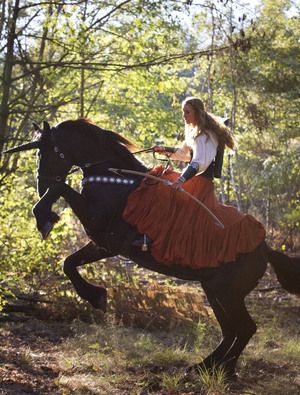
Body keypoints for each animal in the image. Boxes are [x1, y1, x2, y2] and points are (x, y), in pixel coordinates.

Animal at [4, 120, 300, 380]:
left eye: (46, 152)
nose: (39, 184)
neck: (114, 178)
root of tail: (264, 249)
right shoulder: (103, 243)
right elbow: (69, 262)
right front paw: (96, 295)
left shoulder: (104, 233)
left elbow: (60, 187)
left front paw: (44, 216)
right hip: (217, 291)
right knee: (233, 330)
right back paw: (211, 367)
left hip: (225, 292)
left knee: (244, 328)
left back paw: (216, 369)